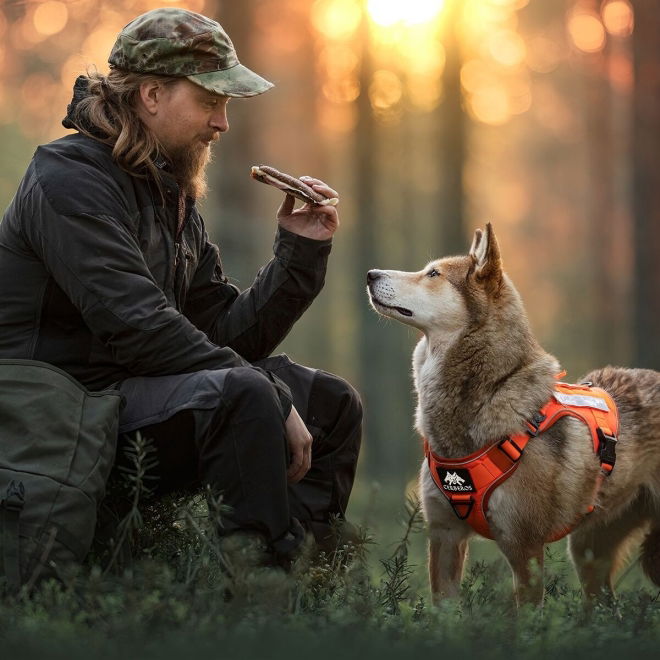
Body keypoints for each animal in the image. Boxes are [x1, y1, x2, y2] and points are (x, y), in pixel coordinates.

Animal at [366, 224, 660, 604]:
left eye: (433, 274)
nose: (370, 274)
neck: (488, 392)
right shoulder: (445, 538)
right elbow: (443, 609)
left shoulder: (525, 550)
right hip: (588, 551)